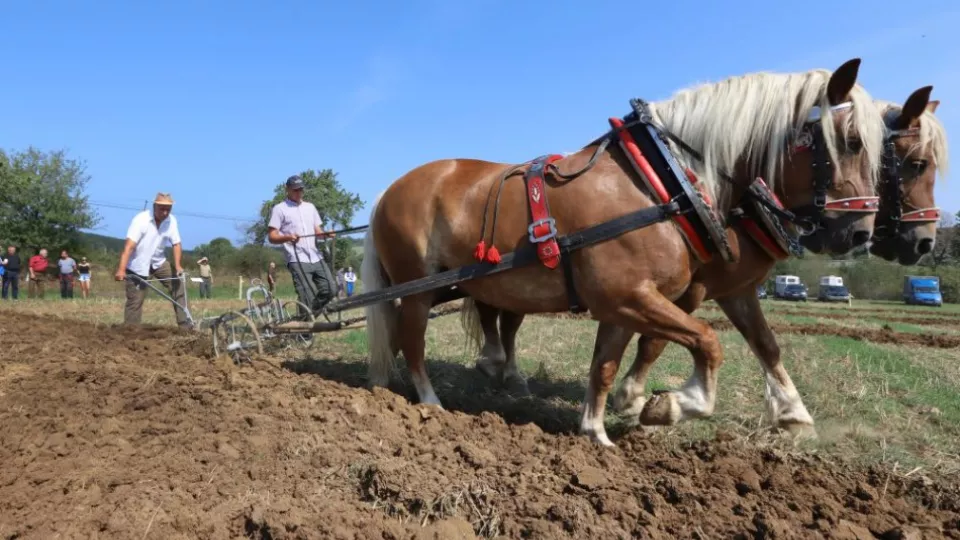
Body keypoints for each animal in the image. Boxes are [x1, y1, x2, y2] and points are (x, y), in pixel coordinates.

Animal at [366, 60, 884, 448]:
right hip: (417, 287)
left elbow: (606, 364)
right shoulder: (631, 296)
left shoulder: (626, 303)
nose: (860, 233)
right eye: (852, 142)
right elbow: (706, 341)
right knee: (412, 340)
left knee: (408, 336)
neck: (665, 184)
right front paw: (668, 405)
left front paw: (597, 431)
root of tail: (389, 191)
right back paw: (430, 404)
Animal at [464, 86, 944, 446]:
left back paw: (503, 369)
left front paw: (793, 414)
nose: (924, 242)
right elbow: (655, 343)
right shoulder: (688, 288)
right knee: (500, 313)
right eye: (915, 164)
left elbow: (765, 343)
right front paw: (639, 399)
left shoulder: (735, 287)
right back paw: (501, 367)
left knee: (499, 311)